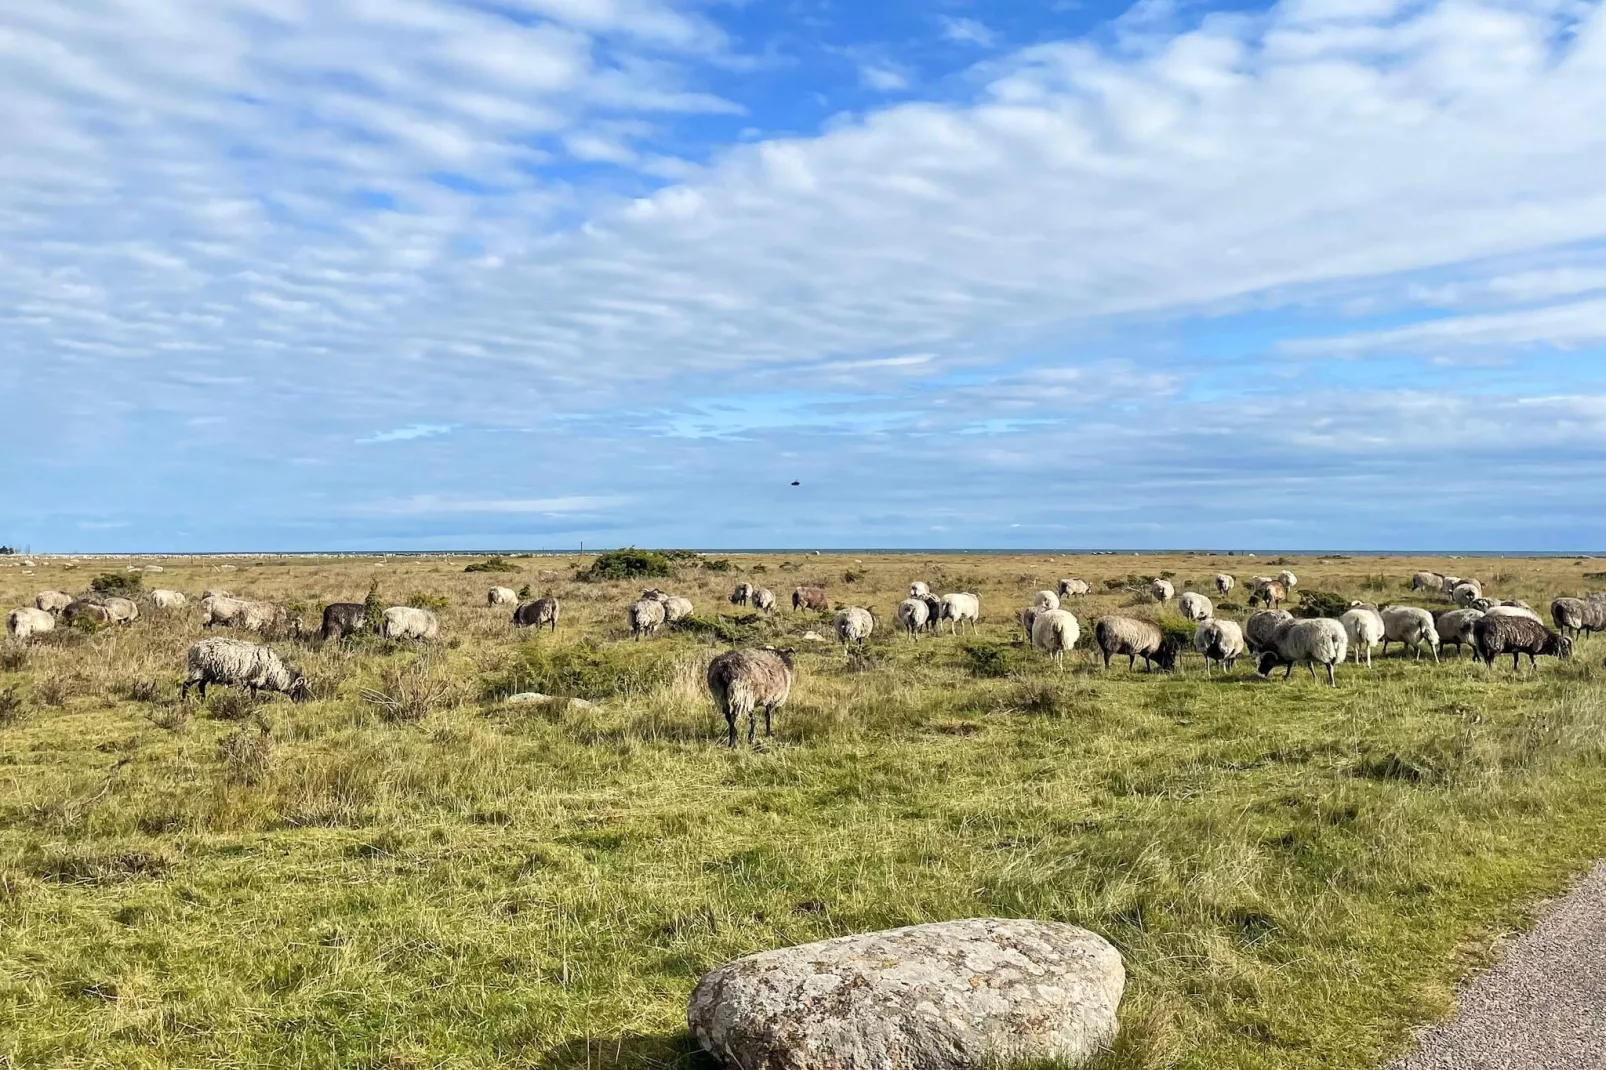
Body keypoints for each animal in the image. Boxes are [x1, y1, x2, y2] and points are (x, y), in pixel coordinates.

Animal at [180, 633, 308, 700]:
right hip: (197, 670)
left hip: (207, 673)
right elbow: (242, 694)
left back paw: (204, 700)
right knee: (186, 684)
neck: (275, 672)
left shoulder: (254, 681)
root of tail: (193, 648)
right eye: (300, 689)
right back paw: (184, 700)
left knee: (201, 686)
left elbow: (253, 695)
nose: (303, 702)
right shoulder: (244, 680)